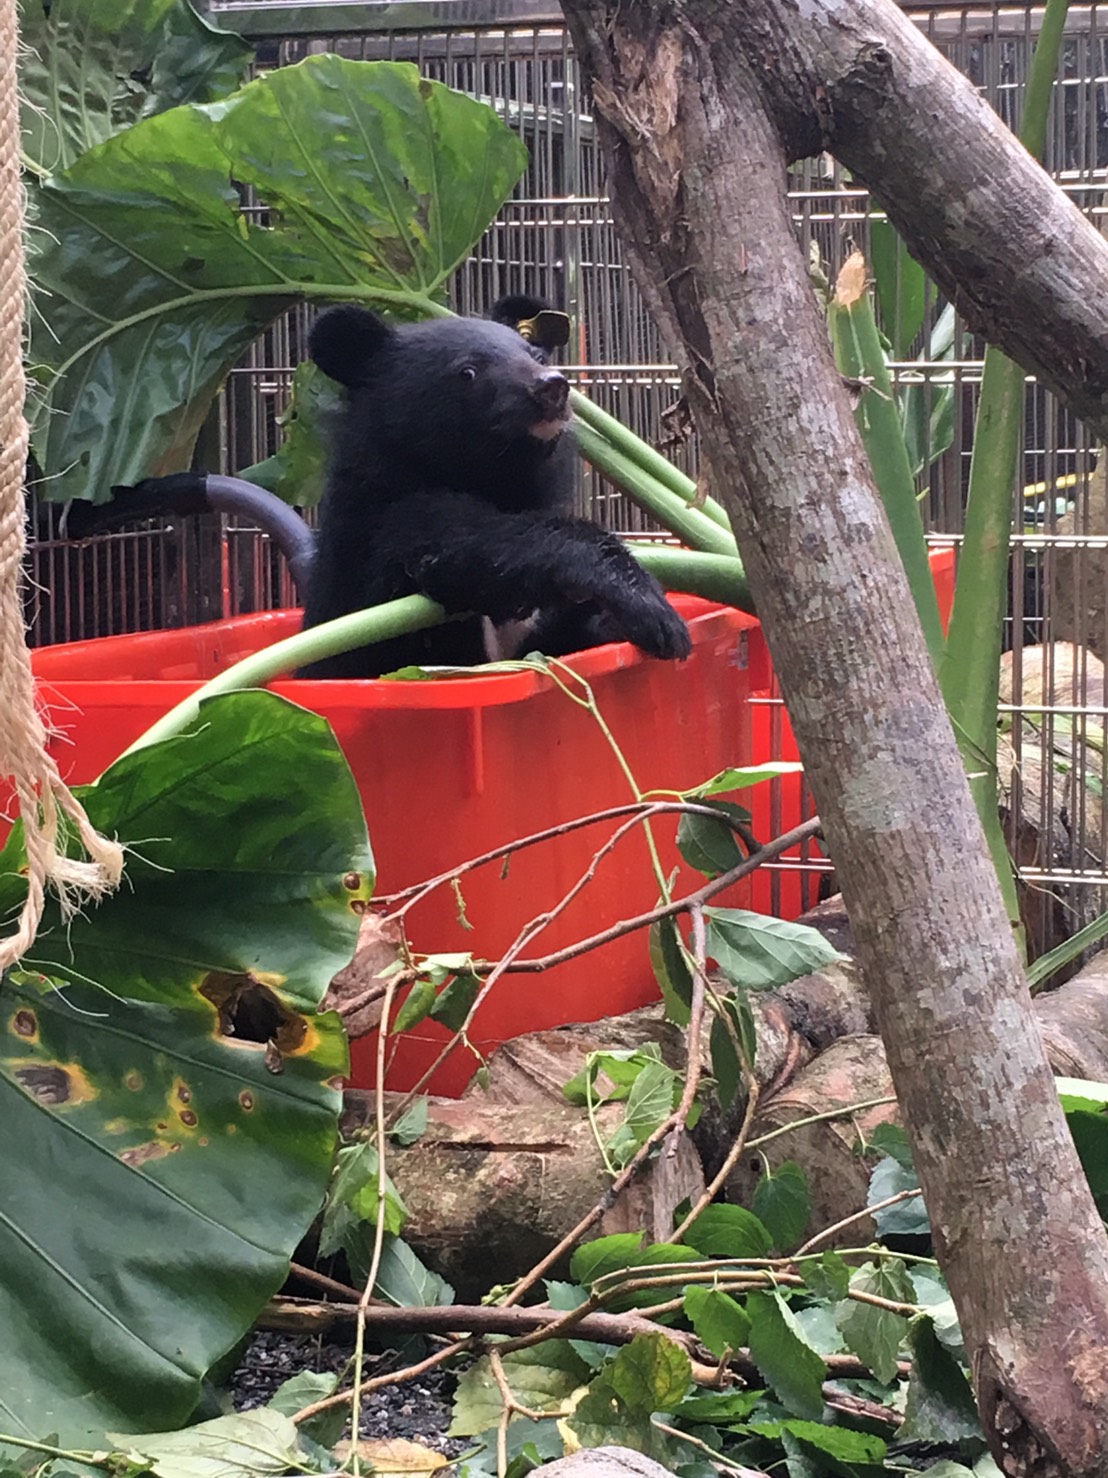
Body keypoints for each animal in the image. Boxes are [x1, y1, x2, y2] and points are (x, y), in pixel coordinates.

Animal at [299, 297, 691, 678]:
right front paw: (651, 610)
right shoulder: (379, 530)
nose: (552, 386)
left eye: (535, 356)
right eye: (467, 371)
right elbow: (465, 538)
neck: (496, 478)